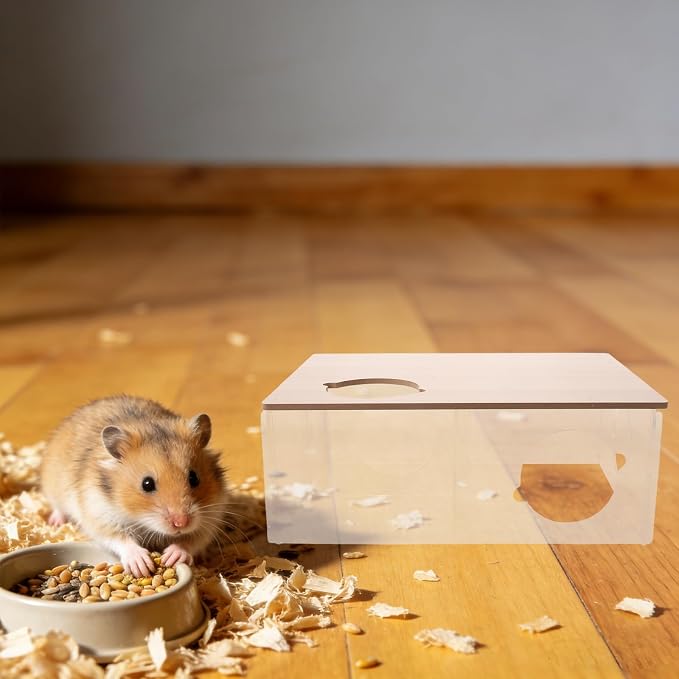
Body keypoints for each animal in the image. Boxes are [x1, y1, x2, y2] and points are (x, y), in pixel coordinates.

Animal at [41, 395, 230, 577]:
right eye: (147, 484)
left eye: (194, 478)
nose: (181, 523)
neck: (140, 519)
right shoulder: (100, 515)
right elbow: (120, 539)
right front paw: (141, 565)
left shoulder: (211, 517)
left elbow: (193, 539)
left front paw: (173, 556)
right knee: (58, 507)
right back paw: (55, 522)